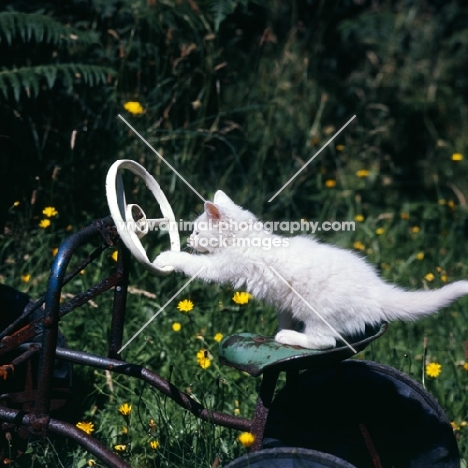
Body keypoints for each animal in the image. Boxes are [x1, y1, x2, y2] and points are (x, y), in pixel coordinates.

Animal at [155, 190, 468, 348]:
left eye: (197, 231)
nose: (189, 240)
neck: (248, 238)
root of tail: (377, 291)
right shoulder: (283, 299)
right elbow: (284, 314)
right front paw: (282, 326)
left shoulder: (220, 266)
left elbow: (193, 263)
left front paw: (167, 256)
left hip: (317, 309)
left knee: (325, 341)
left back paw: (291, 338)